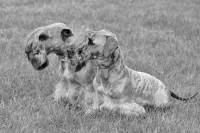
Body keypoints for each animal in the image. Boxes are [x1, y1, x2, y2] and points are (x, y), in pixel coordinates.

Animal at [69, 29, 198, 115]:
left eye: (91, 42)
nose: (72, 51)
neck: (106, 74)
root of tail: (168, 89)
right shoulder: (97, 100)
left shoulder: (124, 103)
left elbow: (118, 107)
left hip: (161, 105)